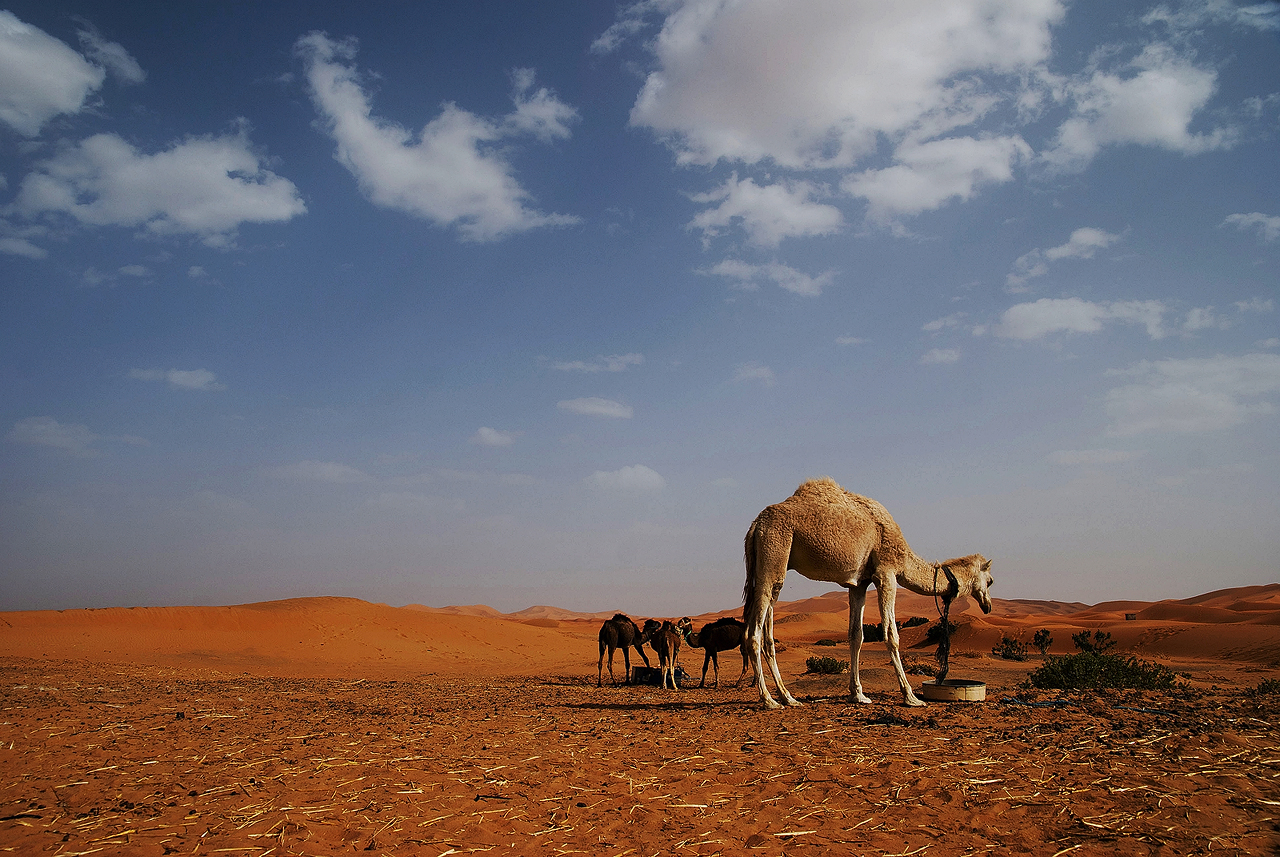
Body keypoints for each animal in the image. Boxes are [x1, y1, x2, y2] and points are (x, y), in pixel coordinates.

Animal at [742, 475, 998, 711]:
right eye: (991, 581)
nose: (988, 606)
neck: (904, 557)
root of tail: (755, 526)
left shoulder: (860, 583)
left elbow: (856, 635)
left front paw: (858, 694)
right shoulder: (887, 573)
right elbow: (891, 634)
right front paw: (911, 696)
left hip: (774, 565)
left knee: (768, 630)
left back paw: (788, 697)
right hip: (774, 550)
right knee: (754, 633)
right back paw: (769, 700)